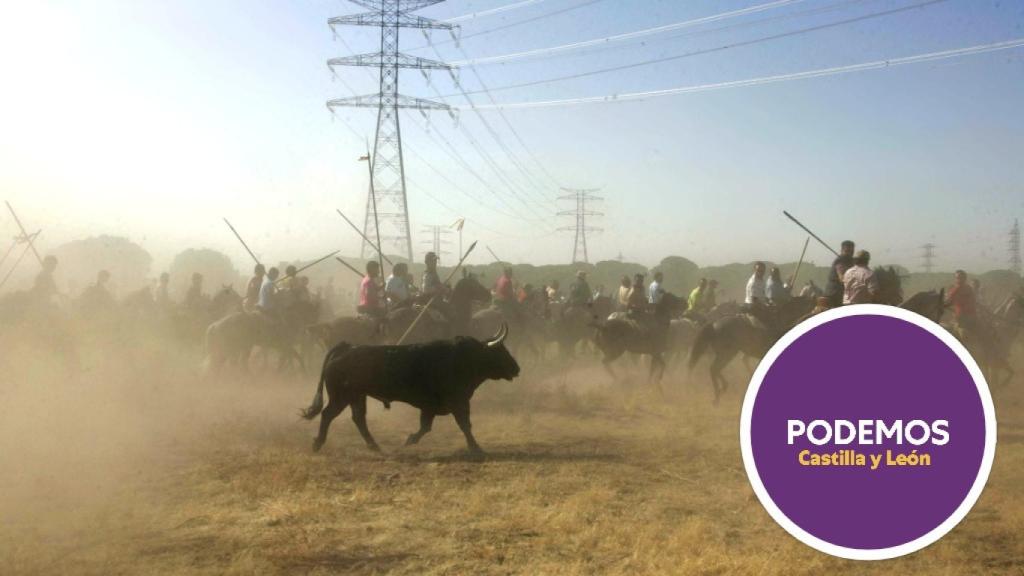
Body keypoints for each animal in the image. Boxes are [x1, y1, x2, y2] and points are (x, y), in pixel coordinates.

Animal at [299, 323, 516, 453]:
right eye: (500, 352)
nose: (517, 368)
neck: (464, 357)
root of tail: (346, 347)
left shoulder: (432, 407)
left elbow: (426, 426)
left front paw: (410, 439)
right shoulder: (458, 402)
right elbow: (464, 425)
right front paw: (476, 447)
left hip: (357, 397)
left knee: (358, 418)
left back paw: (374, 446)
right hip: (341, 397)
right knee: (328, 414)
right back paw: (318, 444)